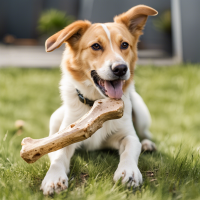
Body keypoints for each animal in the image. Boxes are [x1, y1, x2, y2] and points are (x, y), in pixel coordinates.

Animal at [40, 5, 158, 195]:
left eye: (124, 44)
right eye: (96, 46)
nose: (120, 68)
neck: (99, 106)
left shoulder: (127, 135)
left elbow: (131, 148)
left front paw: (129, 172)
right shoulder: (65, 137)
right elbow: (58, 155)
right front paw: (54, 178)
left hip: (141, 112)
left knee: (144, 134)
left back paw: (148, 144)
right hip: (55, 117)